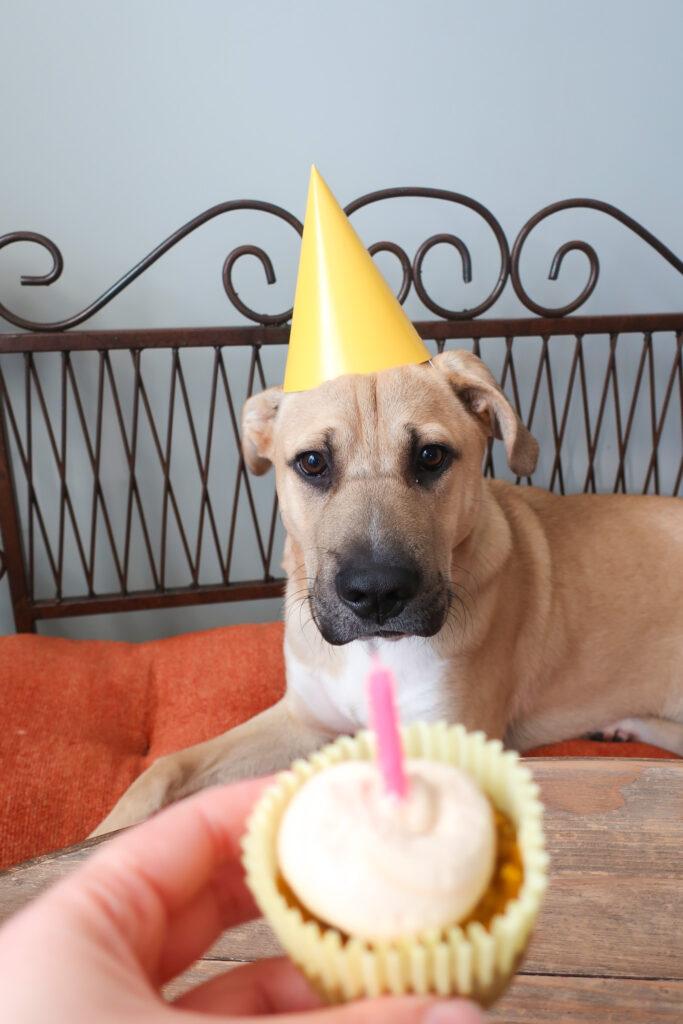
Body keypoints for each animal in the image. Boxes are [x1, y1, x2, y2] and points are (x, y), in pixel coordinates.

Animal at [92, 348, 683, 835]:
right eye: (312, 462)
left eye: (431, 456)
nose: (376, 594)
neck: (373, 652)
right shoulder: (302, 720)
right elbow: (166, 766)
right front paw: (102, 841)